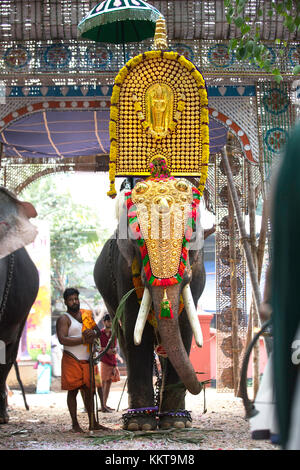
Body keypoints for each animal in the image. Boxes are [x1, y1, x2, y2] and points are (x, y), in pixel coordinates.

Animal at [93, 168, 209, 430]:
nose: (202, 384)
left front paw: (176, 424)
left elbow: (185, 329)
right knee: (124, 339)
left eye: (191, 235)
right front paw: (140, 425)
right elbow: (137, 331)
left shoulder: (197, 274)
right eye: (137, 236)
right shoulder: (124, 271)